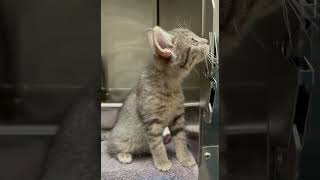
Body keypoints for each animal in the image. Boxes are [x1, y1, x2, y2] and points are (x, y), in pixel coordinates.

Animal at [106, 26, 209, 171]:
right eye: (194, 41)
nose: (207, 41)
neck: (171, 85)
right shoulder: (151, 122)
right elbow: (157, 145)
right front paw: (162, 161)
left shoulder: (178, 118)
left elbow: (181, 139)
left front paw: (185, 157)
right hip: (121, 140)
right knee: (111, 149)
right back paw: (124, 155)